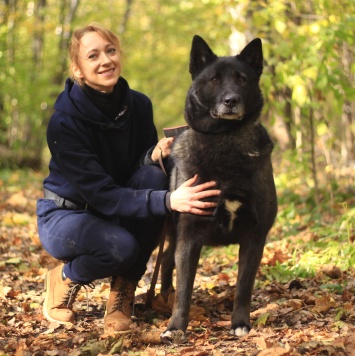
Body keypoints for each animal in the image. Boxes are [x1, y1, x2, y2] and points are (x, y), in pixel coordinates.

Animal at [160, 35, 280, 342]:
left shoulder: (254, 236)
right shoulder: (189, 236)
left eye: (242, 79)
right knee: (166, 265)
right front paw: (175, 327)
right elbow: (185, 288)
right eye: (214, 79)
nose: (231, 100)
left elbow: (243, 287)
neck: (225, 140)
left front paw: (240, 323)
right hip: (172, 235)